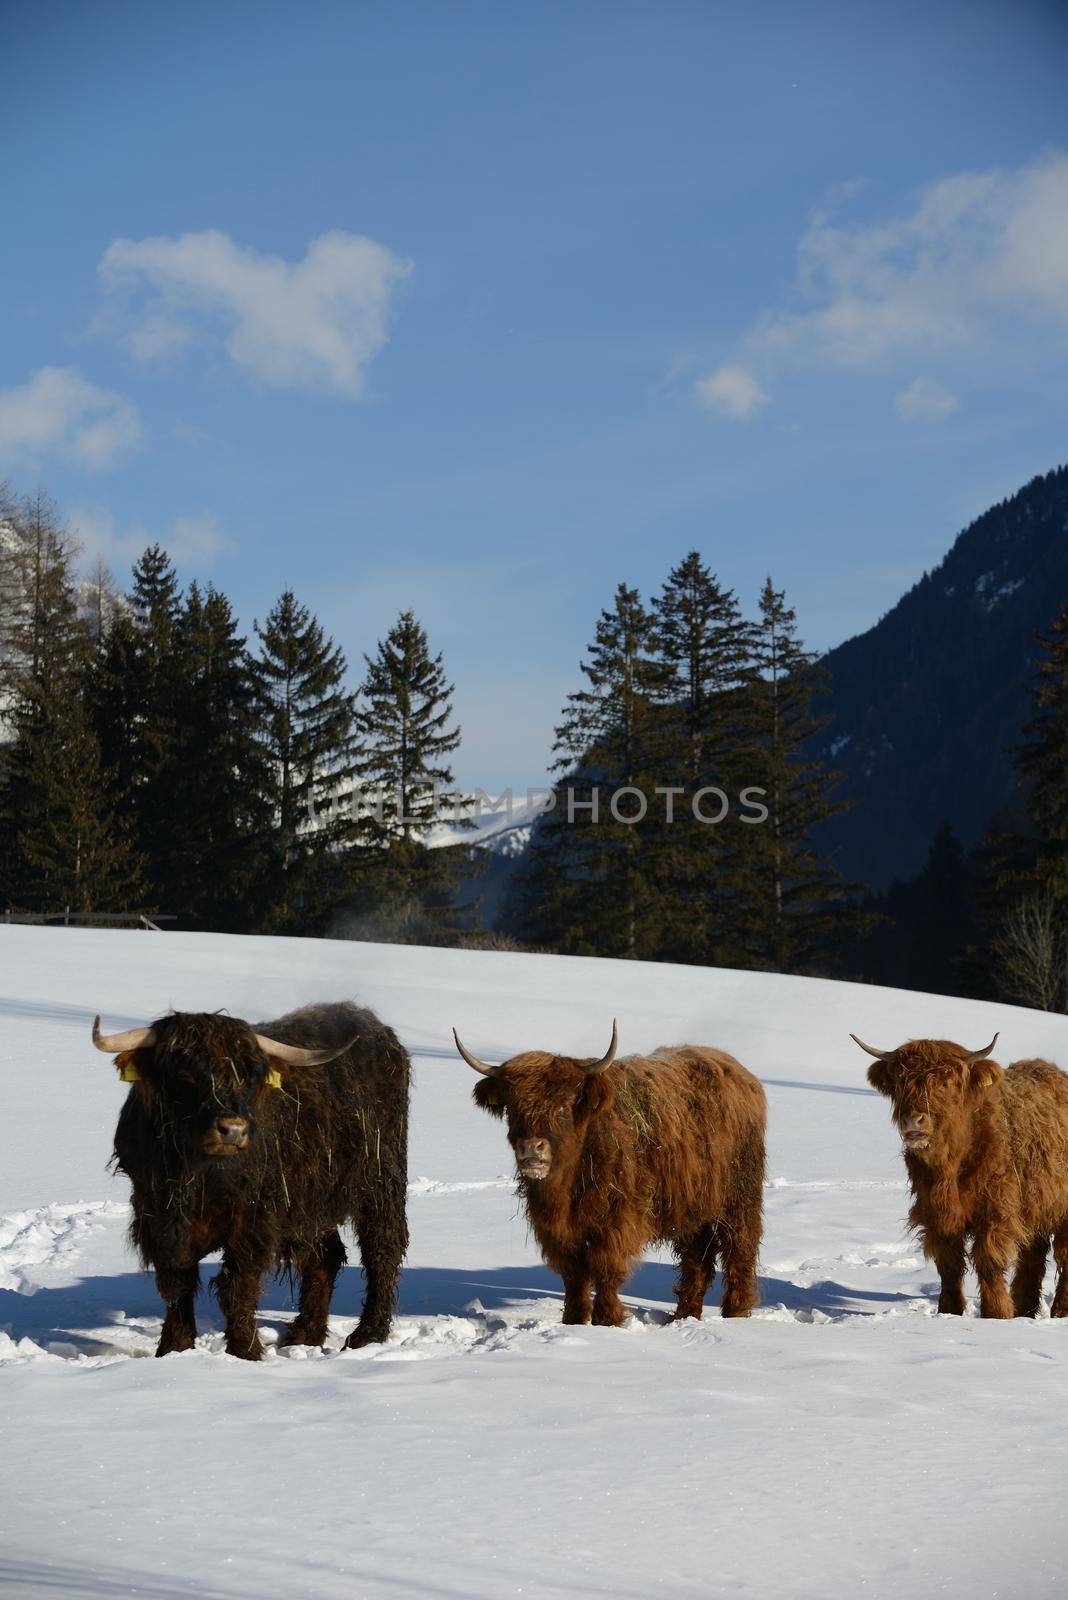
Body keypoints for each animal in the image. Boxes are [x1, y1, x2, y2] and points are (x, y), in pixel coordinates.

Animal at [94, 998, 409, 1363]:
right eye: (185, 1074)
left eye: (249, 1077)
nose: (233, 1129)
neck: (196, 1174)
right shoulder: (157, 1215)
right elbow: (176, 1281)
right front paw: (174, 1350)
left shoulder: (254, 1218)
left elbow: (237, 1284)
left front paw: (244, 1353)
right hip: (311, 1201)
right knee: (324, 1258)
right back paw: (304, 1336)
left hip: (381, 1179)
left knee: (382, 1249)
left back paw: (367, 1335)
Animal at [454, 1024, 764, 1324]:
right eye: (513, 1108)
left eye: (564, 1105)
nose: (531, 1147)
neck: (567, 1185)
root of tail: (739, 1072)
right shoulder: (559, 1232)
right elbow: (574, 1275)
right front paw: (574, 1320)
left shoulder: (616, 1222)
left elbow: (606, 1268)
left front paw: (606, 1321)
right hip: (690, 1209)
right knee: (696, 1259)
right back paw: (684, 1315)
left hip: (739, 1197)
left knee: (739, 1250)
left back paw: (736, 1313)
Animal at [856, 1030, 1068, 1318]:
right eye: (900, 1082)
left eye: (946, 1083)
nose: (914, 1121)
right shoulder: (936, 1214)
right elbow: (949, 1265)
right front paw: (950, 1311)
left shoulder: (996, 1211)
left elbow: (989, 1261)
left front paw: (996, 1314)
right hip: (1036, 1207)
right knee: (1032, 1257)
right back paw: (1024, 1310)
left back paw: (1060, 1311)